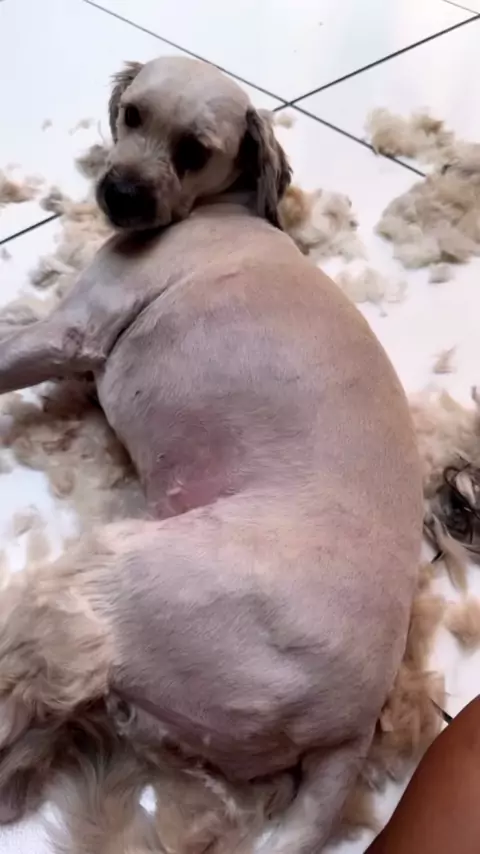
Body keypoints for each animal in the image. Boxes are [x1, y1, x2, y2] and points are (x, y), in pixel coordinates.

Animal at [0, 56, 423, 852]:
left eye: (195, 151)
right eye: (131, 114)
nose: (120, 196)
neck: (214, 211)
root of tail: (349, 731)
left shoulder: (75, 331)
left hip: (119, 579)